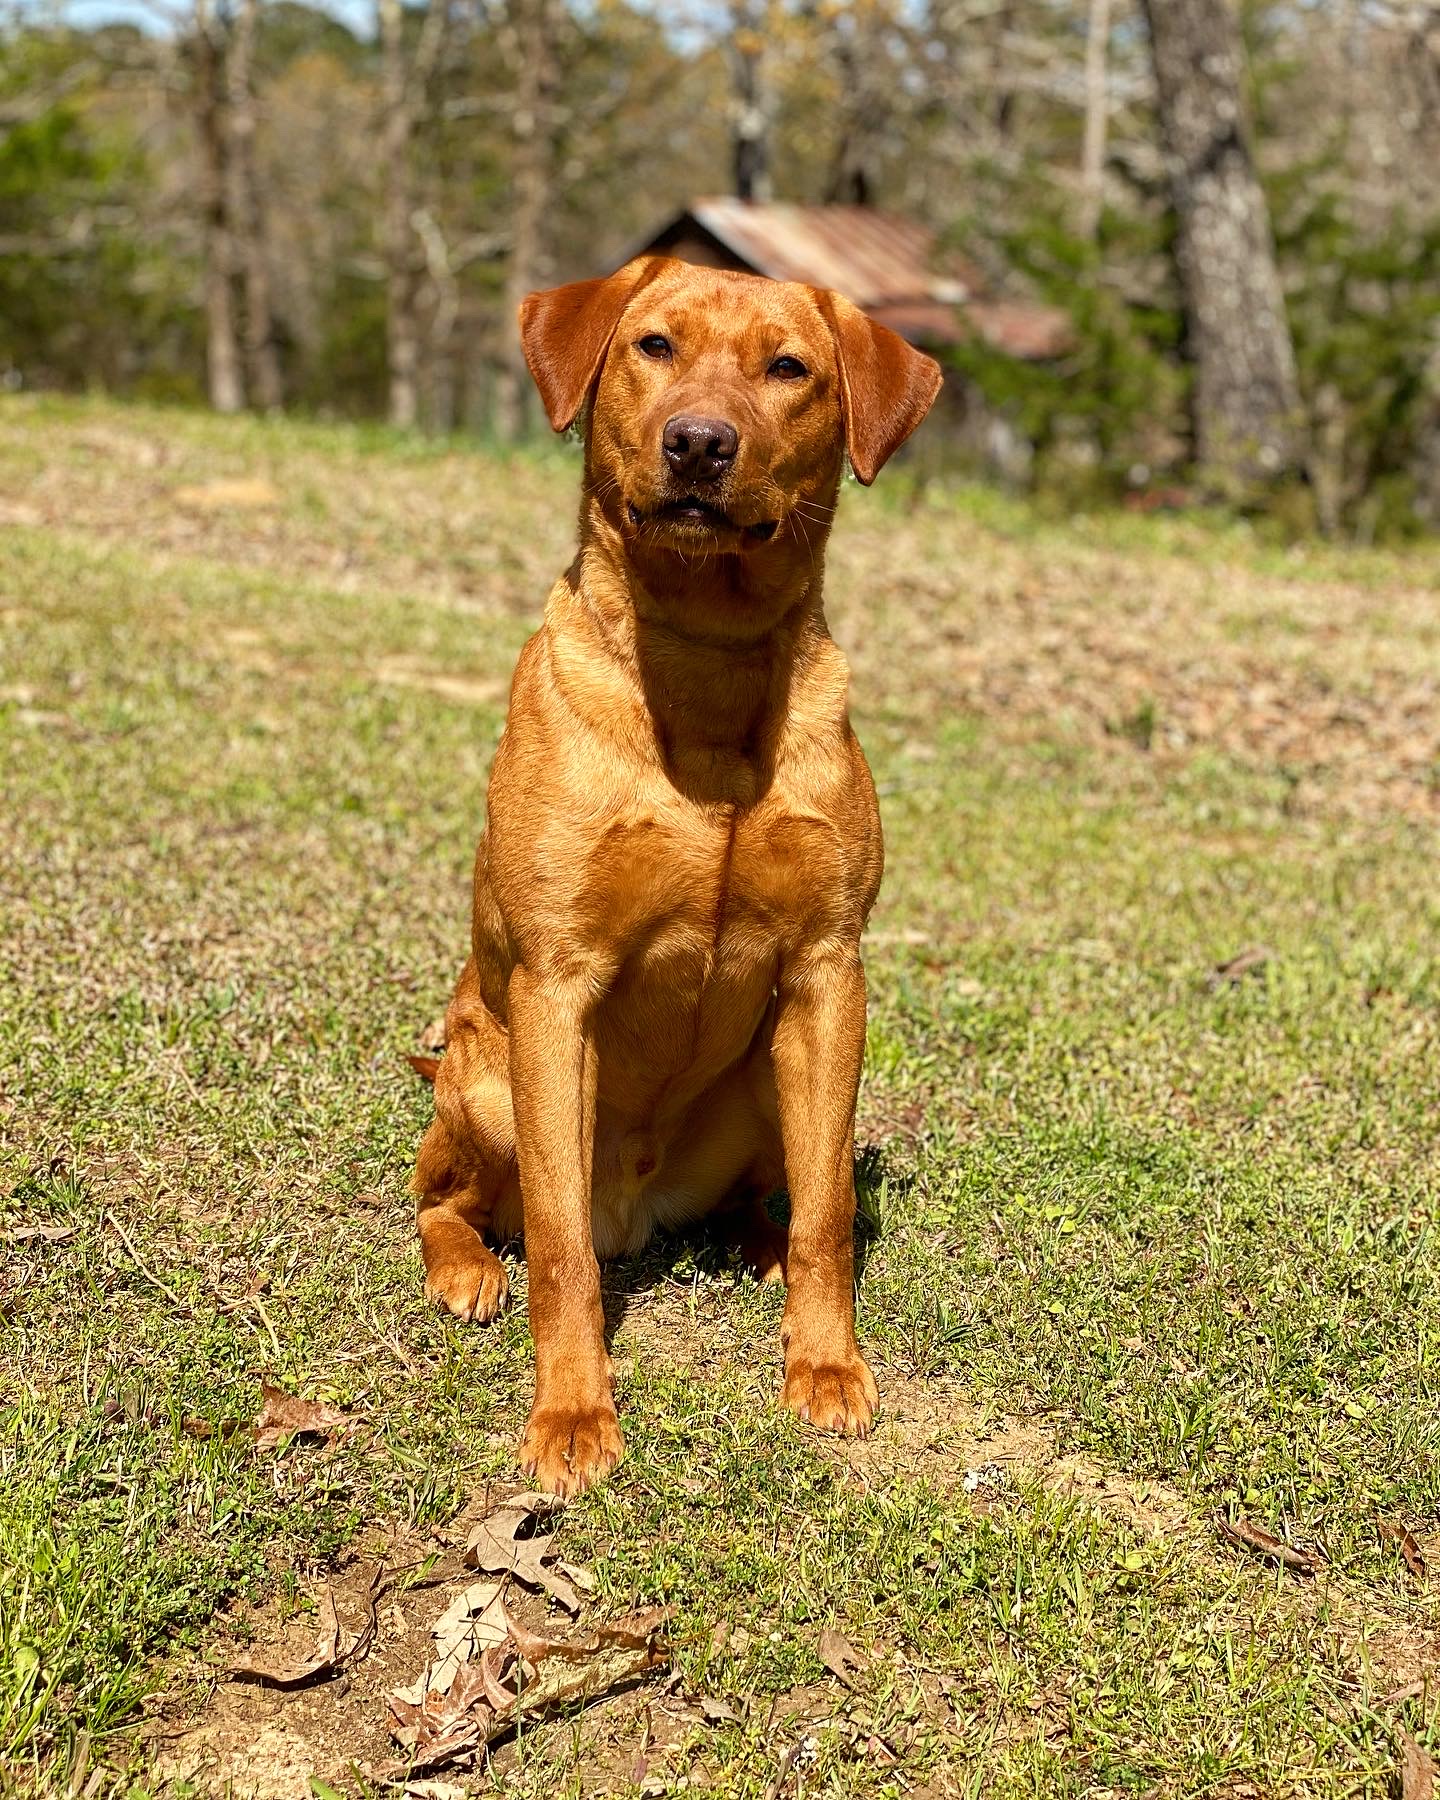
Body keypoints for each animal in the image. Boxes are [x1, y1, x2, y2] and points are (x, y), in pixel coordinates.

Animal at [410, 253, 936, 1490]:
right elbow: (558, 1247)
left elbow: (830, 1212)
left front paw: (824, 1364)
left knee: (776, 1194)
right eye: (654, 345)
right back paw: (466, 1269)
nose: (700, 442)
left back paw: (758, 1249)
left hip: (769, 1081)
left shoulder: (830, 973)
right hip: (487, 1080)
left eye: (788, 368)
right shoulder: (557, 988)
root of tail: (639, 1212)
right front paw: (571, 1415)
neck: (703, 661)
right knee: (443, 1197)